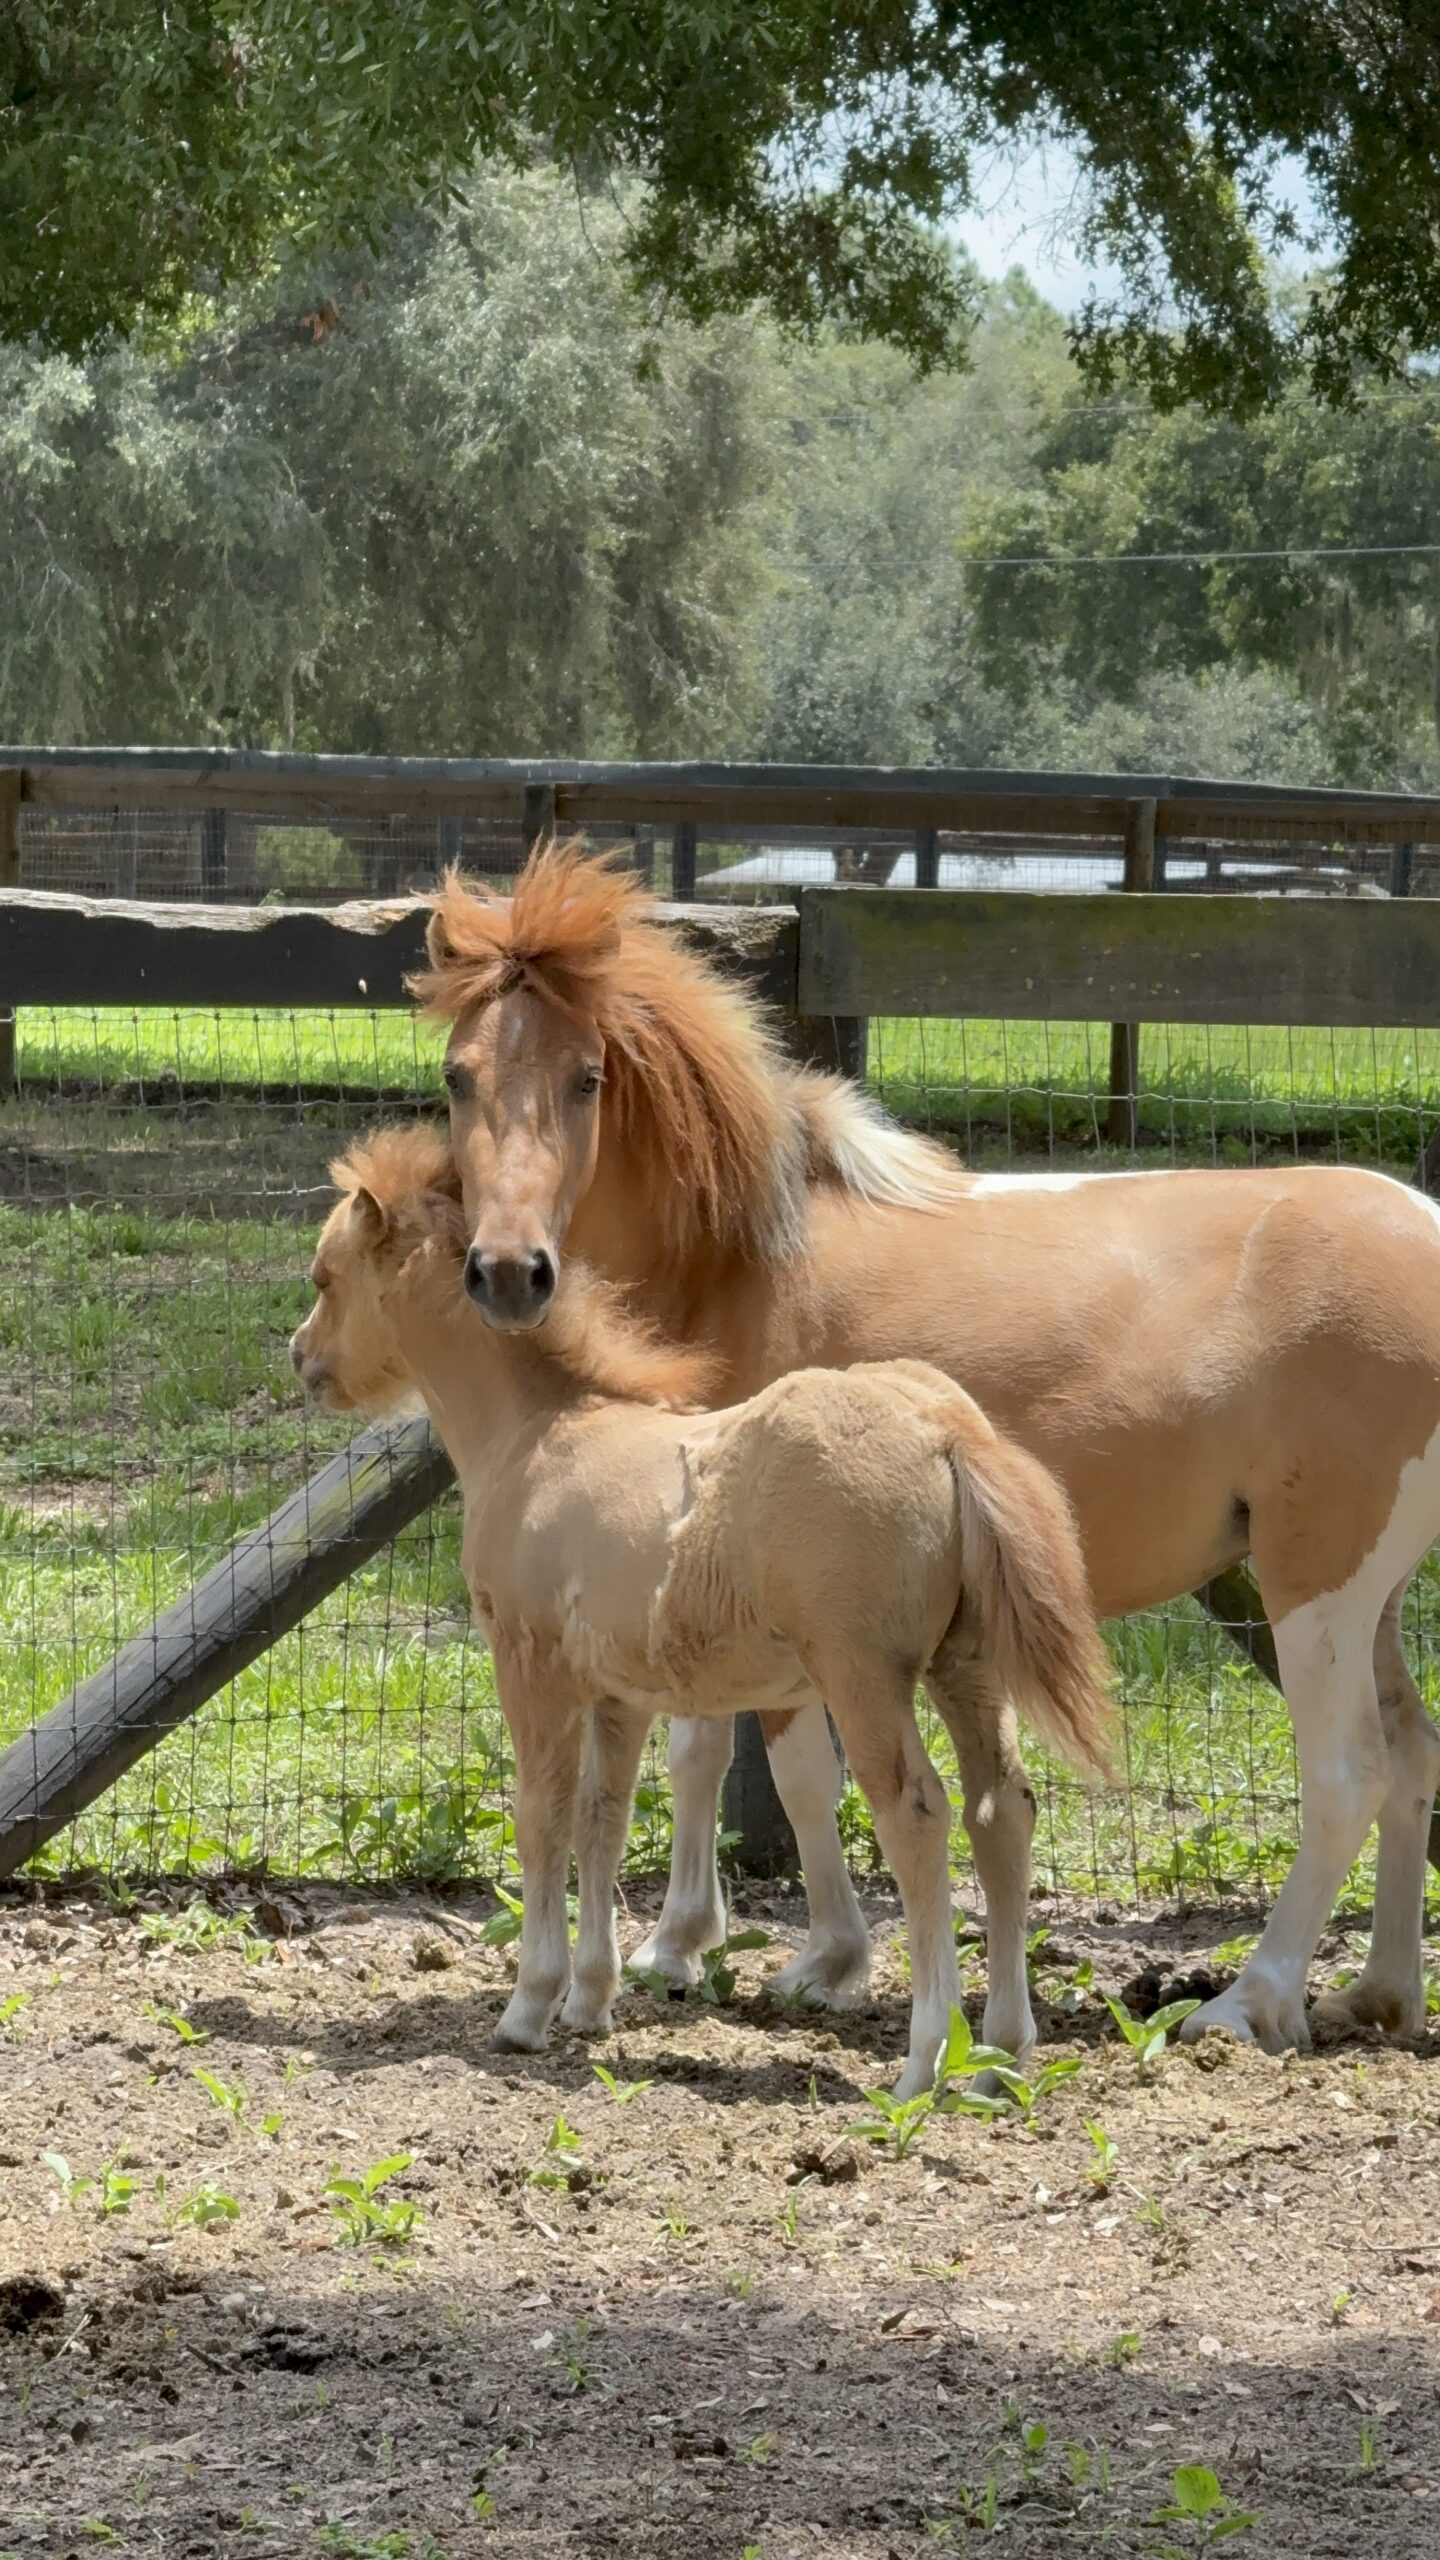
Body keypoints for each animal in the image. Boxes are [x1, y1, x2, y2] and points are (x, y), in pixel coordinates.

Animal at [290, 1127, 1114, 2096]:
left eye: (326, 1277)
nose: (302, 1357)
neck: (536, 1437)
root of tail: (946, 1430)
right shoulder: (618, 1692)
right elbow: (601, 1820)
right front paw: (591, 1997)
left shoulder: (529, 1666)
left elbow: (540, 1818)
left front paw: (529, 2007)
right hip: (967, 1664)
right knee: (1003, 1809)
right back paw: (1003, 2054)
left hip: (864, 1676)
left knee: (917, 1812)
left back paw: (925, 2059)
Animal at [411, 841, 1440, 2060]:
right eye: (459, 1075)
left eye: (587, 1078)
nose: (509, 1271)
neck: (743, 1256)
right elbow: (704, 1748)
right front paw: (688, 1945)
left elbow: (798, 1769)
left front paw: (816, 1959)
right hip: (1369, 1596)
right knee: (1413, 1753)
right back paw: (1378, 1993)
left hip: (1314, 1585)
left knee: (1345, 1775)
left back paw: (1252, 1997)